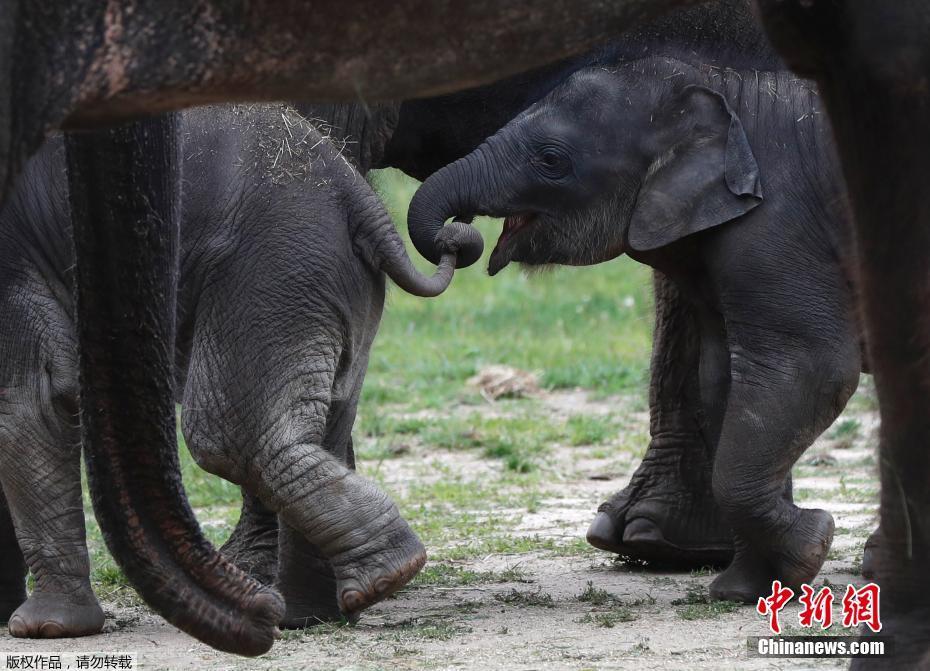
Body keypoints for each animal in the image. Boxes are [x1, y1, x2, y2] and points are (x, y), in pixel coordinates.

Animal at [0, 102, 478, 636]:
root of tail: (362, 202)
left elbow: (34, 403)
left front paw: (44, 629)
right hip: (328, 281)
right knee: (322, 424)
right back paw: (311, 611)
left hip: (273, 272)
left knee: (233, 436)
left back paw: (377, 579)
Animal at [410, 57, 860, 604]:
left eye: (551, 160)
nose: (457, 237)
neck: (727, 95)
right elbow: (722, 378)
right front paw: (751, 587)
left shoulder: (778, 224)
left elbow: (810, 365)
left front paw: (808, 548)